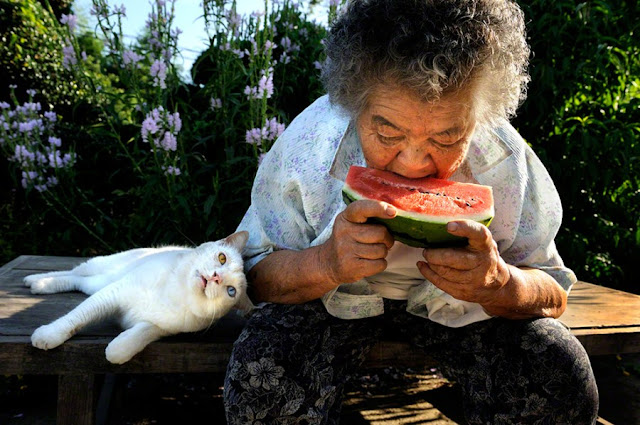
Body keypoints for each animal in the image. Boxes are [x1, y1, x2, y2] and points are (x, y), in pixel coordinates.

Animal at [24, 230, 250, 362]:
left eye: (231, 291)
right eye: (222, 258)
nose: (216, 277)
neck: (177, 292)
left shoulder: (159, 328)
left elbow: (134, 340)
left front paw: (115, 349)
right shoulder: (113, 293)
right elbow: (77, 317)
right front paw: (49, 335)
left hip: (98, 283)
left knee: (78, 280)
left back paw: (37, 284)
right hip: (104, 269)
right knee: (75, 272)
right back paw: (35, 280)